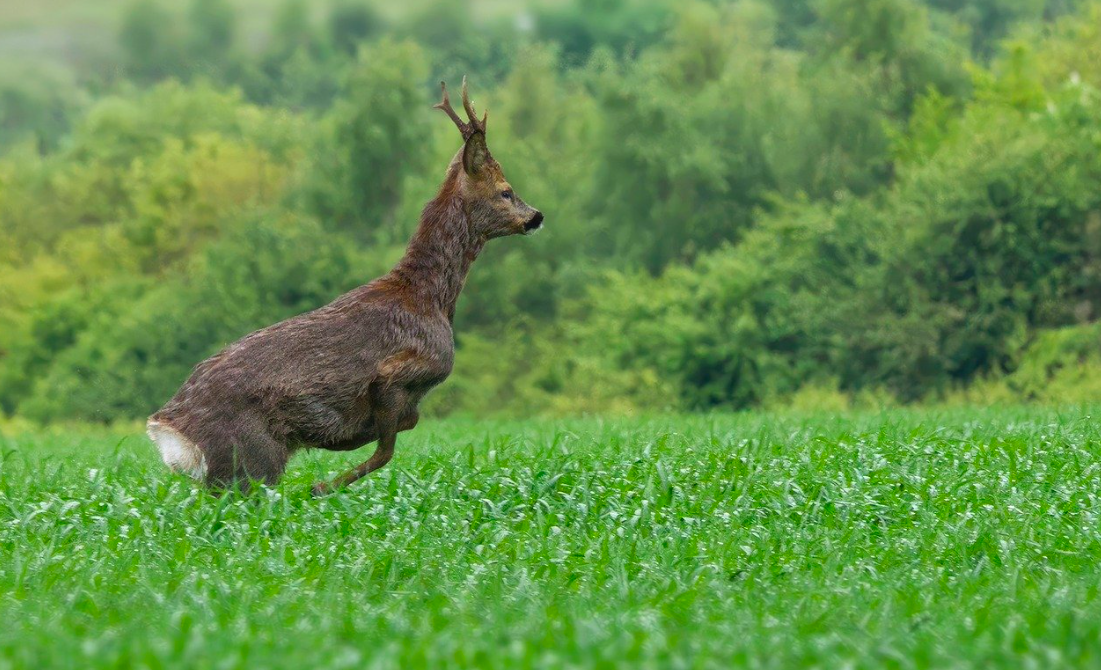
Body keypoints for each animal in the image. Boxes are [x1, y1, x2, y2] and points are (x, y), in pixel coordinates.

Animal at [146, 79, 541, 497]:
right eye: (505, 190)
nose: (537, 216)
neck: (428, 298)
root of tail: (167, 431)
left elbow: (406, 425)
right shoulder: (395, 373)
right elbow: (387, 448)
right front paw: (321, 484)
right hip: (253, 459)